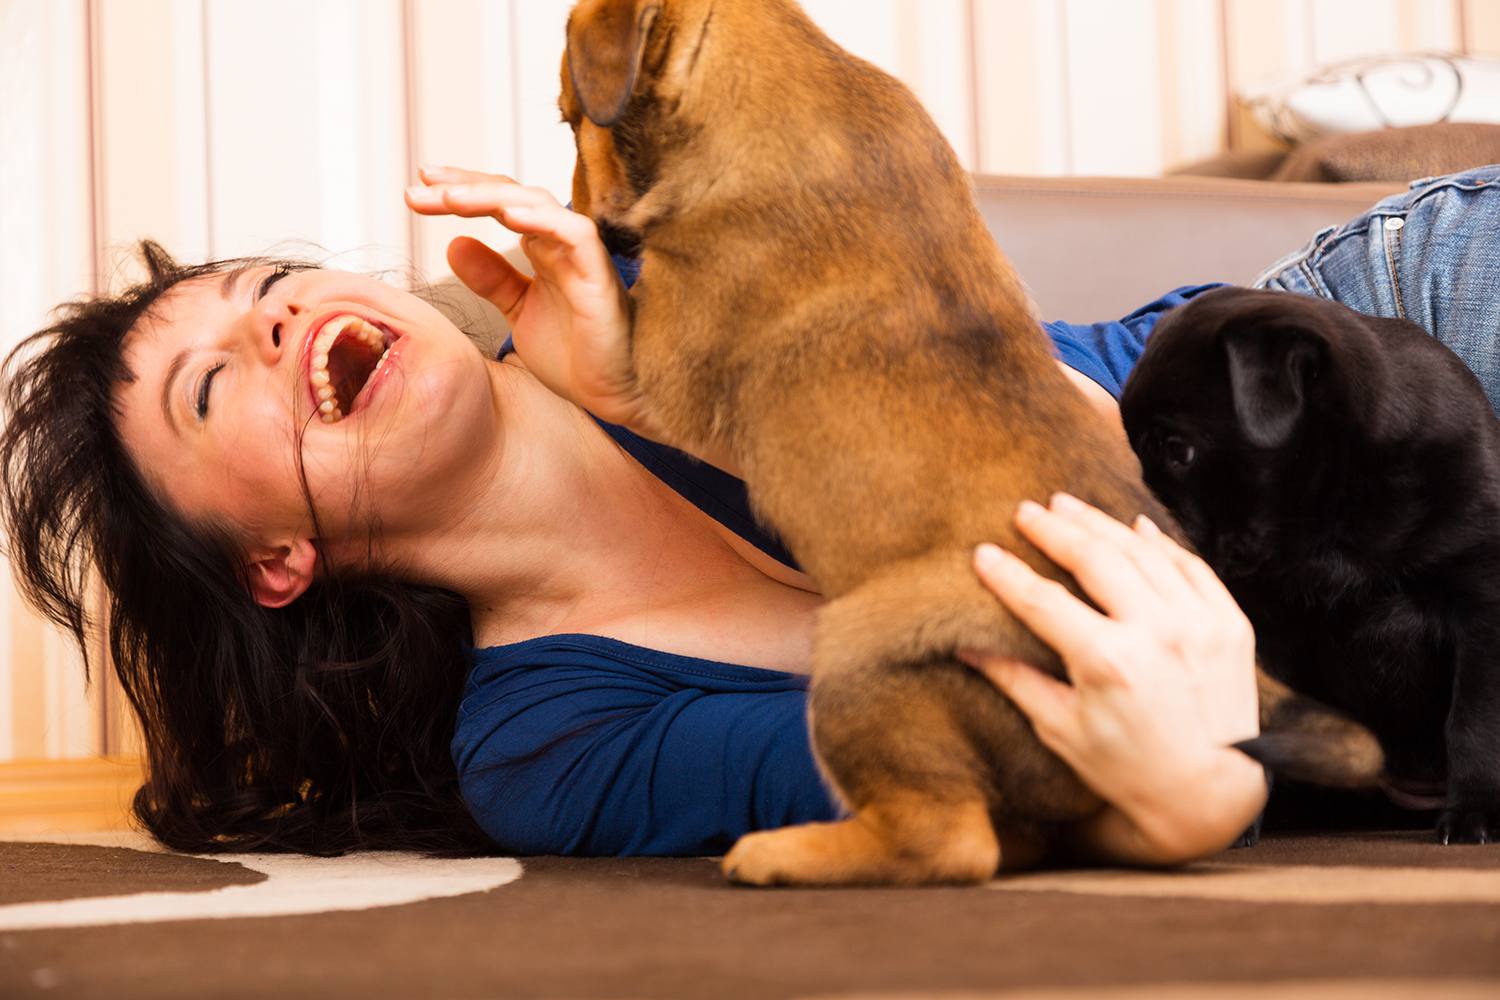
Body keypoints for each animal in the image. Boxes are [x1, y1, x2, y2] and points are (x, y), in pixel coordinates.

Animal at [561, 0, 1374, 887]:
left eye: (571, 120)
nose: (577, 209)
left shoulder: (667, 360)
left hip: (856, 647)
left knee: (949, 840)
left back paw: (784, 853)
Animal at [1122, 289, 1500, 845]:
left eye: (1179, 451)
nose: (1139, 505)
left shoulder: (1482, 606)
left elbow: (1476, 721)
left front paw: (1476, 809)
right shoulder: (1263, 627)